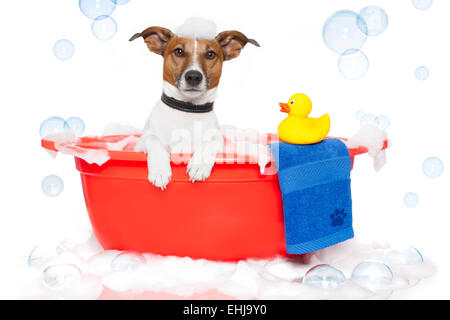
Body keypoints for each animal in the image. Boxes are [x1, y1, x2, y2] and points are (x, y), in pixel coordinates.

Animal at [129, 18, 260, 189]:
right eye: (179, 51)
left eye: (210, 54)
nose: (193, 76)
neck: (188, 109)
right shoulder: (141, 143)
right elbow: (154, 140)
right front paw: (159, 169)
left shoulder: (219, 142)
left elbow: (211, 142)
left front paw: (199, 164)